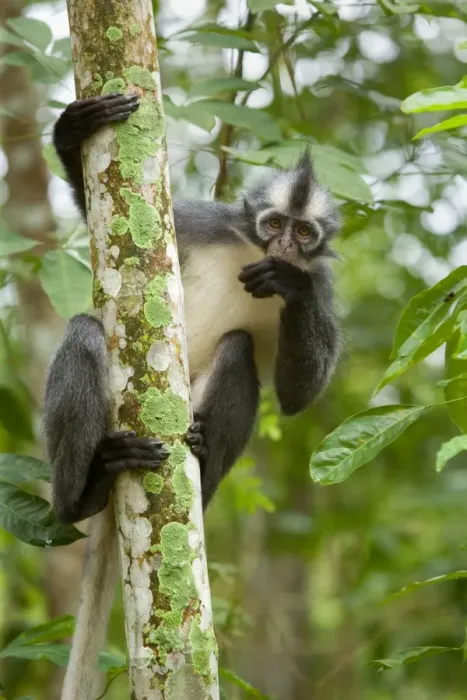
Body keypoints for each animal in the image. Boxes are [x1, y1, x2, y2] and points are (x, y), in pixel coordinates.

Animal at [44, 92, 341, 699]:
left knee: (238, 347)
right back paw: (84, 493)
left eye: (303, 233)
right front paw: (72, 129)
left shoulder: (323, 285)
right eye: (274, 223)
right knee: (85, 330)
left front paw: (288, 284)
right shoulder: (202, 223)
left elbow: (299, 395)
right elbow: (97, 217)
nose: (281, 245)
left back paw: (198, 463)